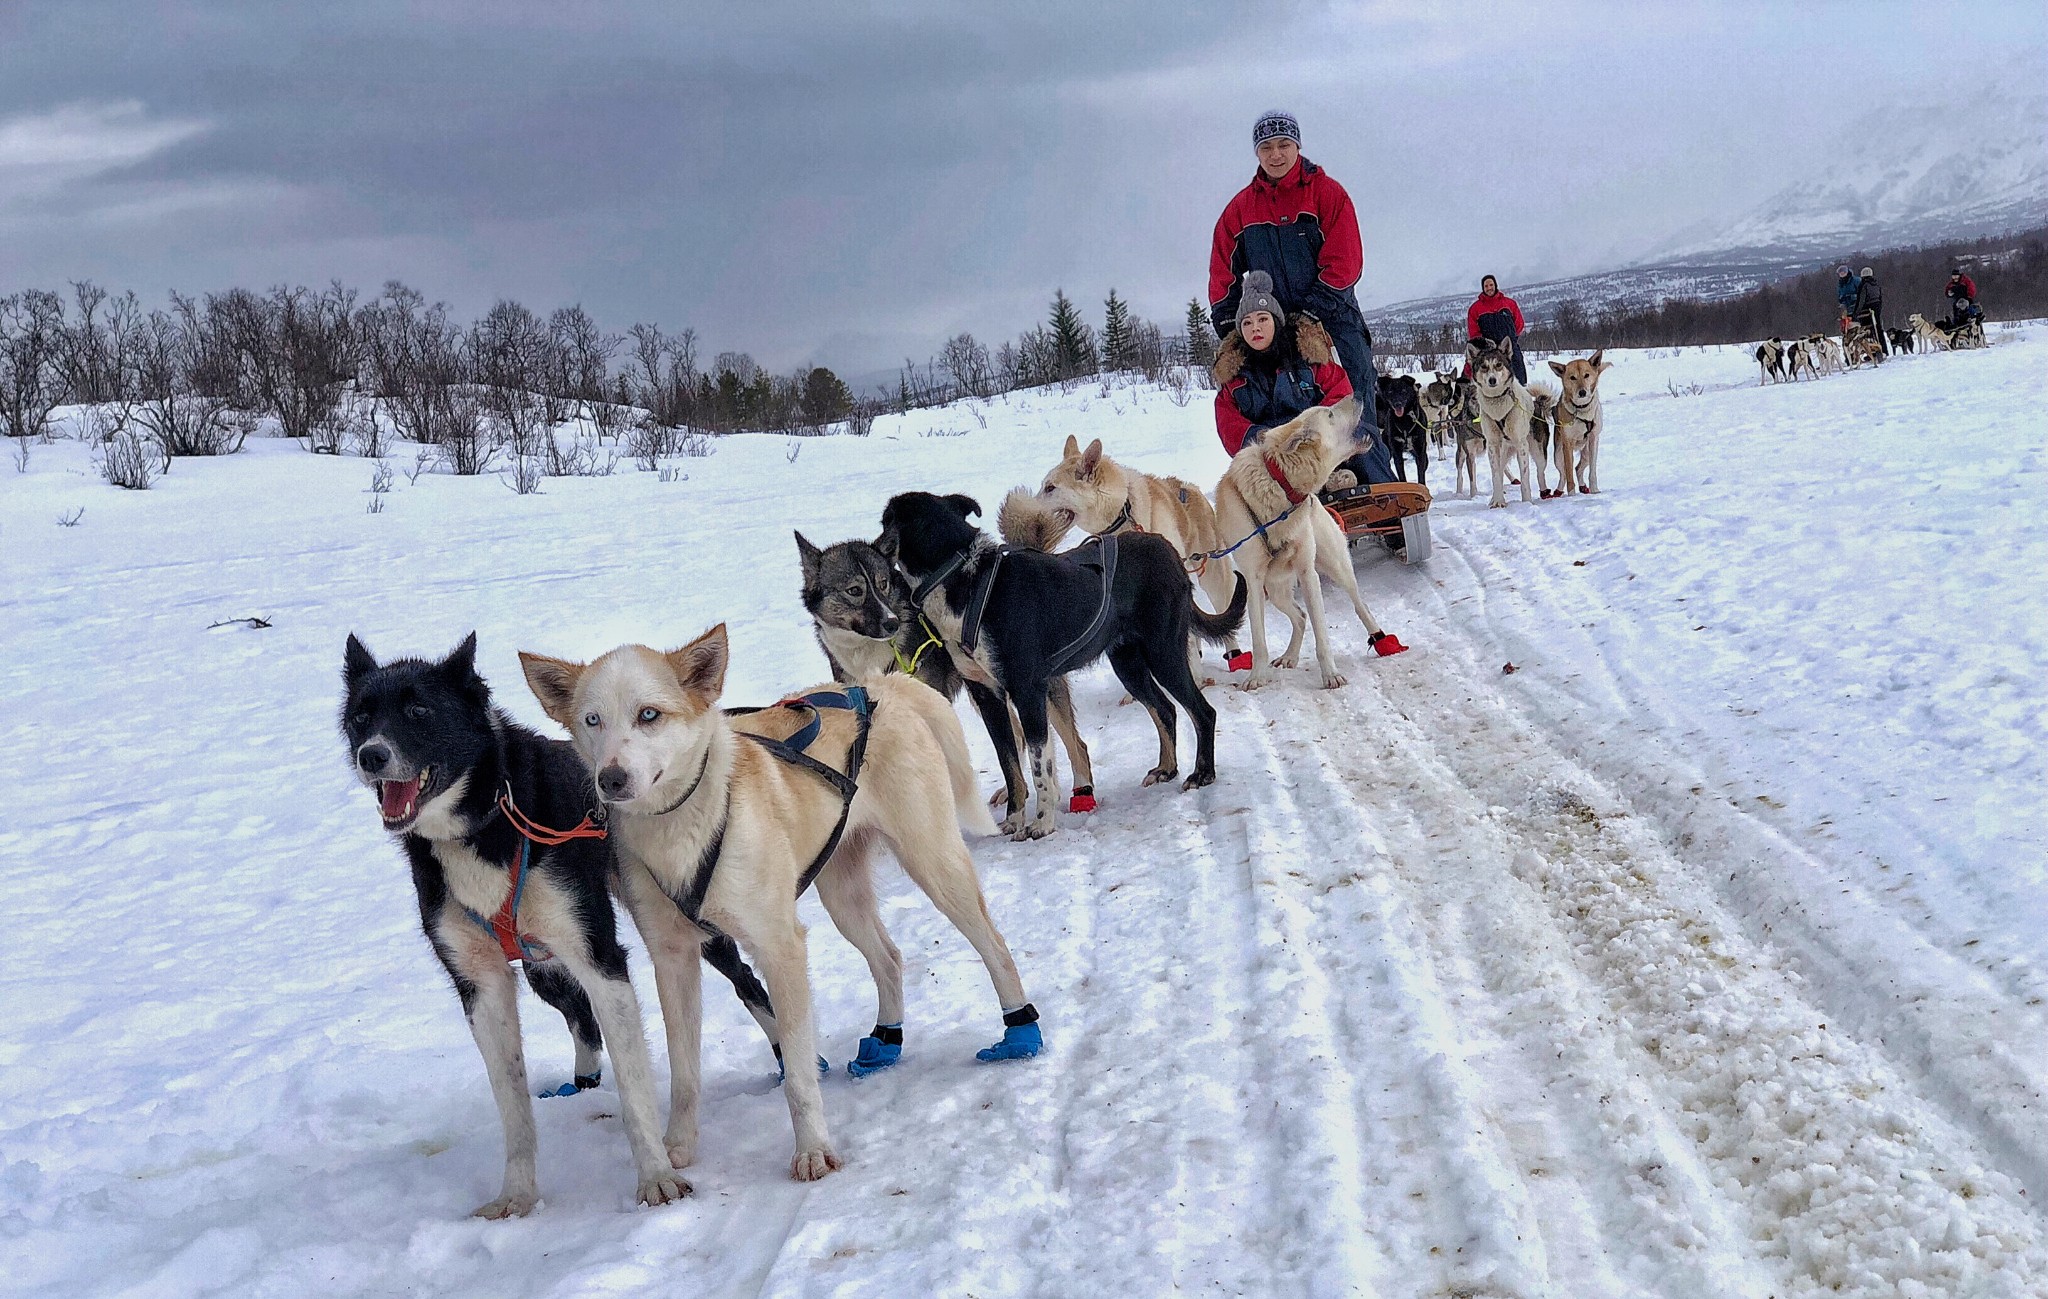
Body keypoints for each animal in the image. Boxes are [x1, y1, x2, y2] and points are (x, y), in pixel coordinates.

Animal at [339, 631, 778, 1221]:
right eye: (361, 716)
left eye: (419, 711)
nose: (372, 755)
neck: (485, 822)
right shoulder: (481, 986)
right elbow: (514, 1108)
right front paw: (517, 1196)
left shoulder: (600, 959)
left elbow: (635, 1089)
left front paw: (657, 1178)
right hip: (542, 967)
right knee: (580, 1020)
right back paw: (583, 1083)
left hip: (691, 931)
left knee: (749, 982)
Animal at [790, 532, 1097, 815]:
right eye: (854, 590)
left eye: (883, 584)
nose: (892, 623)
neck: (871, 655)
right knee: (1020, 735)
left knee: (1074, 745)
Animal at [1212, 397, 1392, 688]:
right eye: (1329, 414)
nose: (1356, 396)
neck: (1280, 483)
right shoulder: (1253, 581)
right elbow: (1259, 639)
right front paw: (1257, 676)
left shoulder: (1308, 573)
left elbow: (1322, 636)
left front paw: (1330, 674)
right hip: (1275, 590)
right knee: (1299, 616)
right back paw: (1289, 656)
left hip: (1336, 567)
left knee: (1359, 605)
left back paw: (1381, 639)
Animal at [1548, 346, 1613, 493]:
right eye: (1572, 378)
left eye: (1586, 375)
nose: (1582, 392)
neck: (1582, 410)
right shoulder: (1567, 443)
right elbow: (1568, 474)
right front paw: (1572, 494)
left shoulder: (1594, 439)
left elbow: (1592, 472)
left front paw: (1595, 490)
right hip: (1558, 455)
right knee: (1563, 473)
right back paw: (1559, 491)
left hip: (1587, 452)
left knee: (1578, 468)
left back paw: (1583, 486)